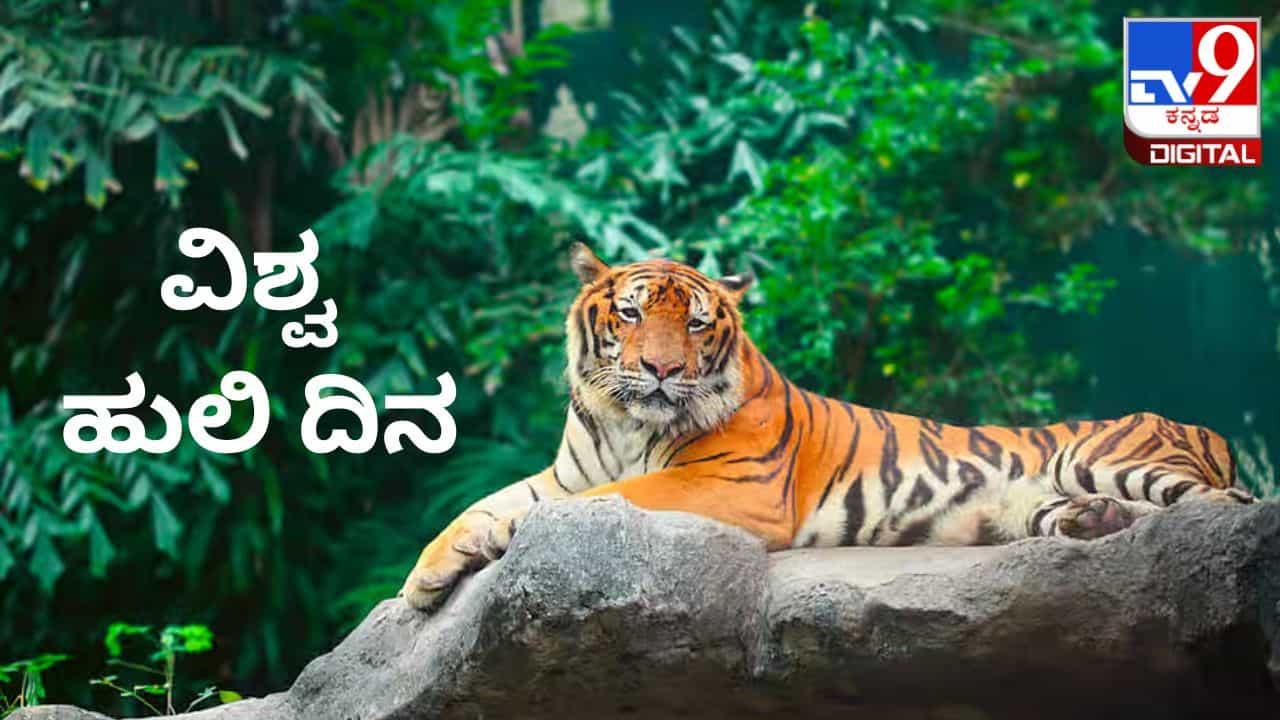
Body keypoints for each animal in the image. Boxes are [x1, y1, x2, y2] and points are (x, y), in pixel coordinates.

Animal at [400, 243, 1255, 610]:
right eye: (633, 313)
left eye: (698, 323)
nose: (662, 371)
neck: (622, 422)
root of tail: (1201, 424)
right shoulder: (563, 473)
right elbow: (475, 508)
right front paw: (426, 581)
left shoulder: (728, 484)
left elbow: (618, 499)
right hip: (1041, 501)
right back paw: (1096, 524)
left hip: (1102, 451)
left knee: (1228, 510)